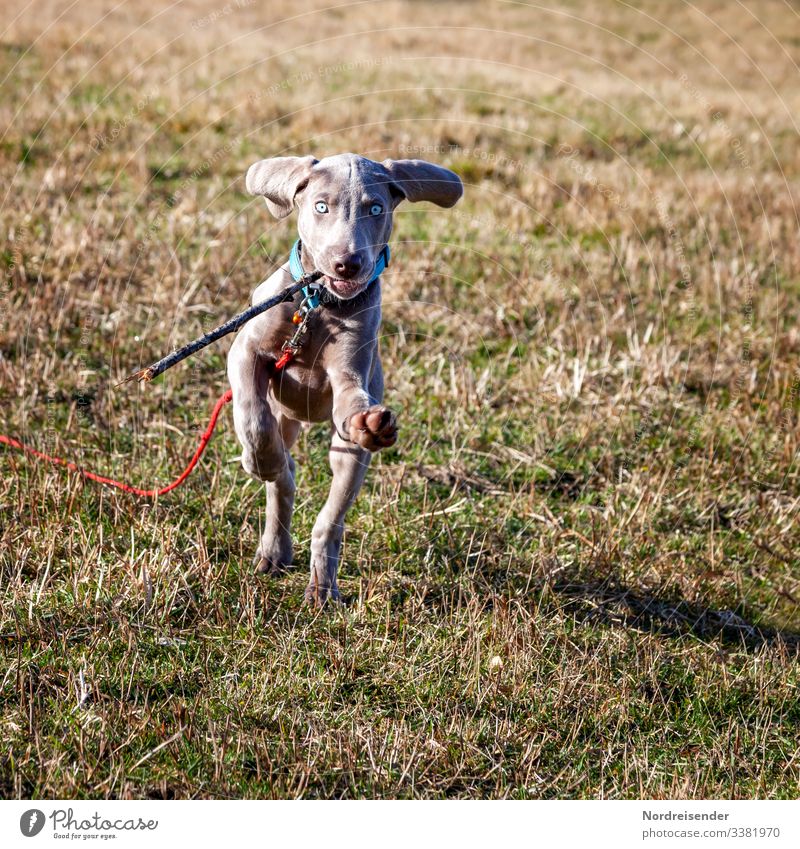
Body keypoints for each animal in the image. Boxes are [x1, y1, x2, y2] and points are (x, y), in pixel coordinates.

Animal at [227, 152, 462, 604]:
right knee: (283, 477)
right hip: (285, 414)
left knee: (329, 518)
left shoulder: (351, 372)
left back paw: (321, 586)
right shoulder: (245, 351)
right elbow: (253, 416)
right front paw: (259, 459)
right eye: (321, 206)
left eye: (376, 209)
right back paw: (275, 538)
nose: (347, 263)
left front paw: (369, 422)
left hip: (349, 457)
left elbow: (350, 400)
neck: (319, 304)